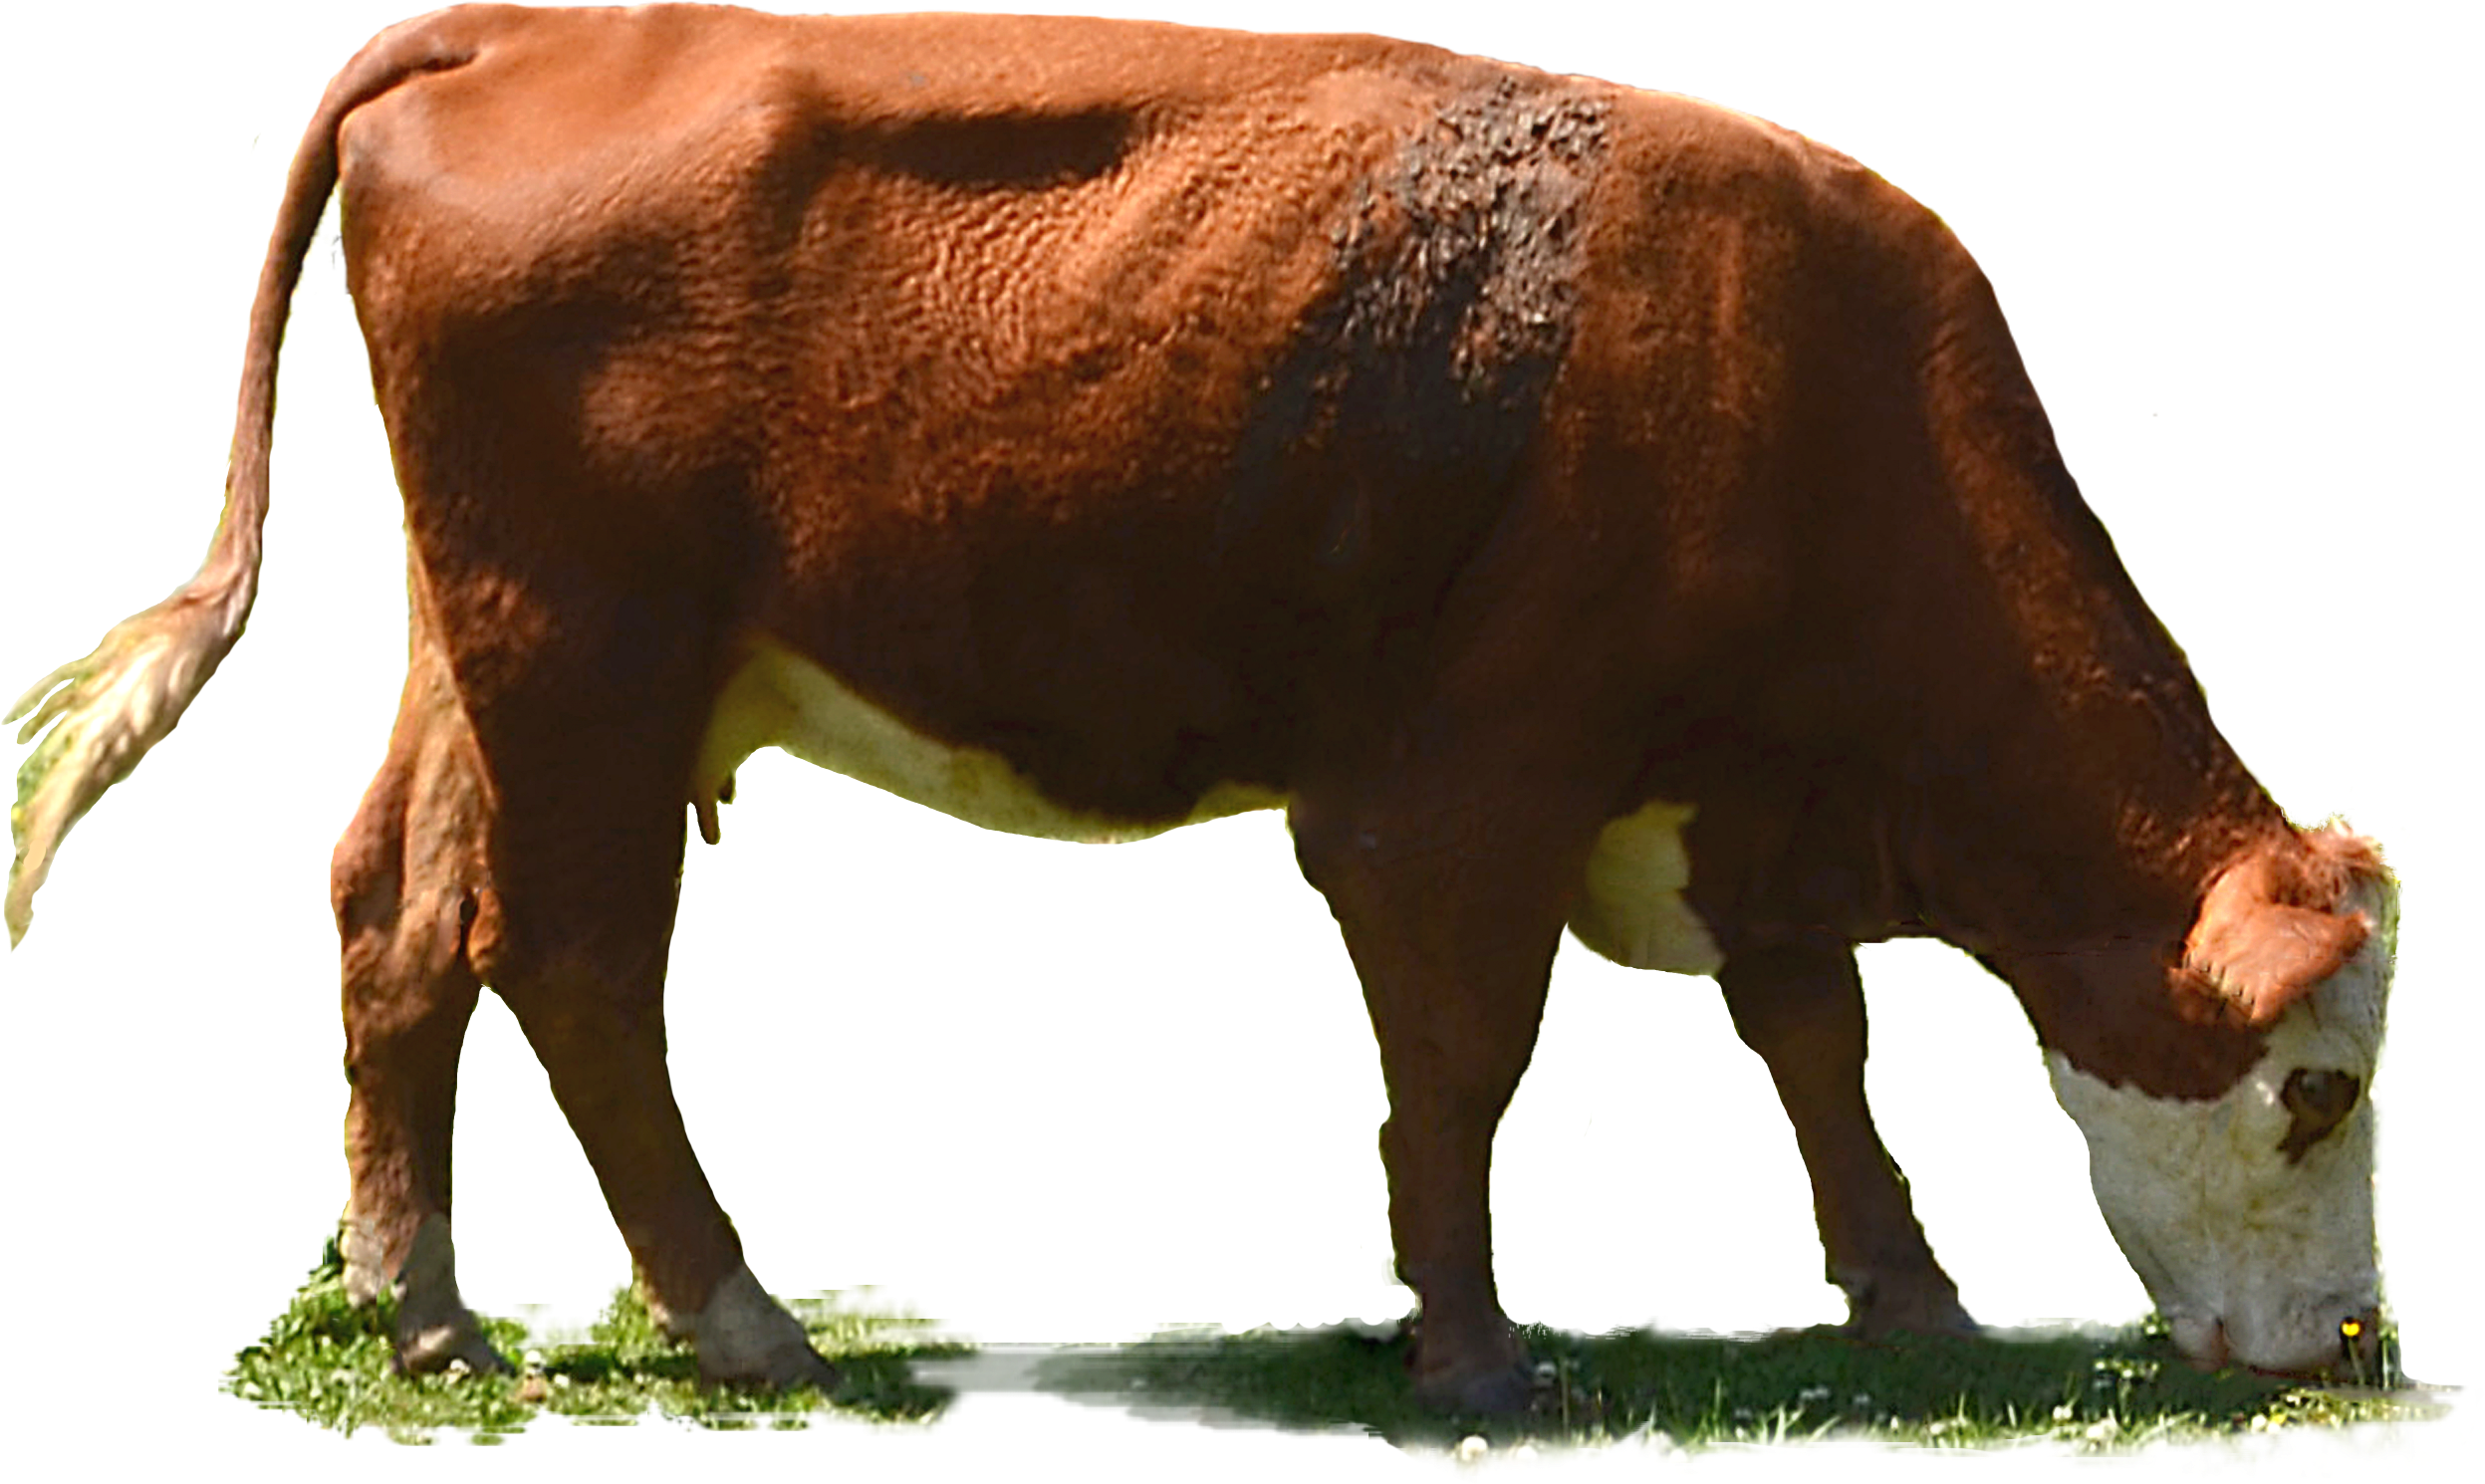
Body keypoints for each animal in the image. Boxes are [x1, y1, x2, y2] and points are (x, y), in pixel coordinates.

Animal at [5, 6, 2400, 1414]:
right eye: (2313, 1090)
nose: (2355, 1345)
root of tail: (530, 26)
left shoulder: (1729, 800)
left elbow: (1816, 1037)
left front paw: (1910, 1298)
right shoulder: (1456, 791)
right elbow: (1461, 1060)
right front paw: (1473, 1358)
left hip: (488, 645)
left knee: (394, 911)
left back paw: (425, 1303)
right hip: (594, 650)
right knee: (573, 960)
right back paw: (733, 1314)